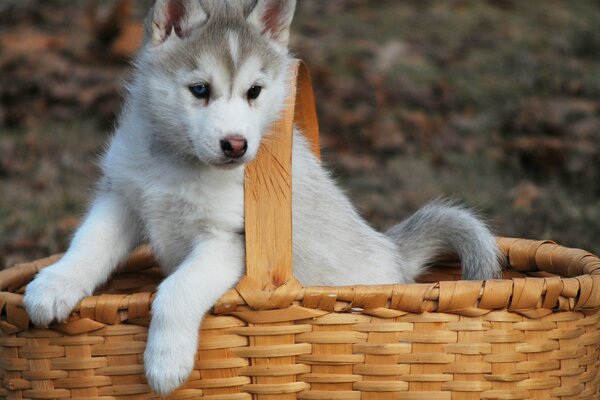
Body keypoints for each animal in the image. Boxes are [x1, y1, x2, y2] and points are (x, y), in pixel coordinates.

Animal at [23, 0, 502, 394]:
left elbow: (176, 289)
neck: (176, 166)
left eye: (254, 91)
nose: (237, 145)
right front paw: (52, 286)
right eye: (200, 89)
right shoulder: (122, 199)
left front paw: (165, 363)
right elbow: (87, 245)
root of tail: (393, 253)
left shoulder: (228, 241)